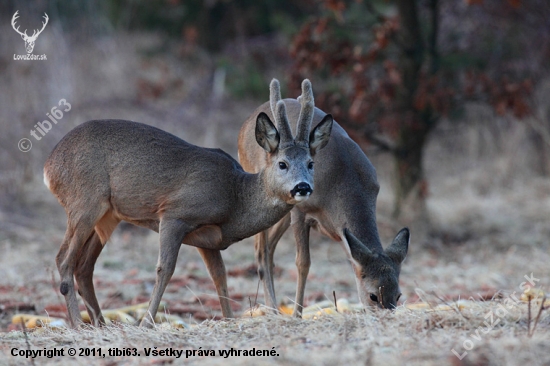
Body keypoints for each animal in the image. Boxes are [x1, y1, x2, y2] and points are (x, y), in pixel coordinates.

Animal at [44, 78, 332, 328]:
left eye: (311, 163)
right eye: (282, 164)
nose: (302, 187)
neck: (235, 199)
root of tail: (49, 167)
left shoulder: (210, 239)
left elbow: (219, 276)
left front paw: (229, 320)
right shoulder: (175, 214)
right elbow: (165, 269)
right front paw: (147, 323)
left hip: (107, 216)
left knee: (84, 267)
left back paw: (100, 325)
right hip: (85, 201)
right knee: (63, 260)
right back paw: (78, 325)